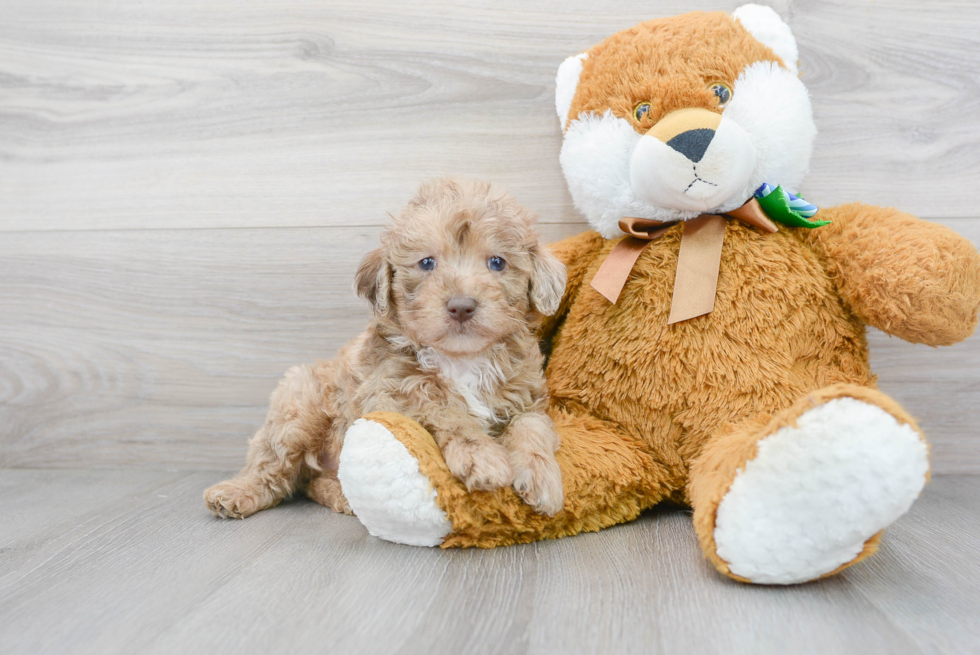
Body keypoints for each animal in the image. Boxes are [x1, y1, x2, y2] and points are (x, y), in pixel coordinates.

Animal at [205, 177, 568, 520]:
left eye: (497, 263)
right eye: (426, 263)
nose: (461, 306)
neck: (461, 359)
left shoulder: (526, 396)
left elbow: (531, 427)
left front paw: (541, 476)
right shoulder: (391, 394)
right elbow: (447, 410)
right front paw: (481, 456)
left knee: (311, 482)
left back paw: (343, 496)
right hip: (299, 403)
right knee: (273, 466)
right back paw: (236, 493)